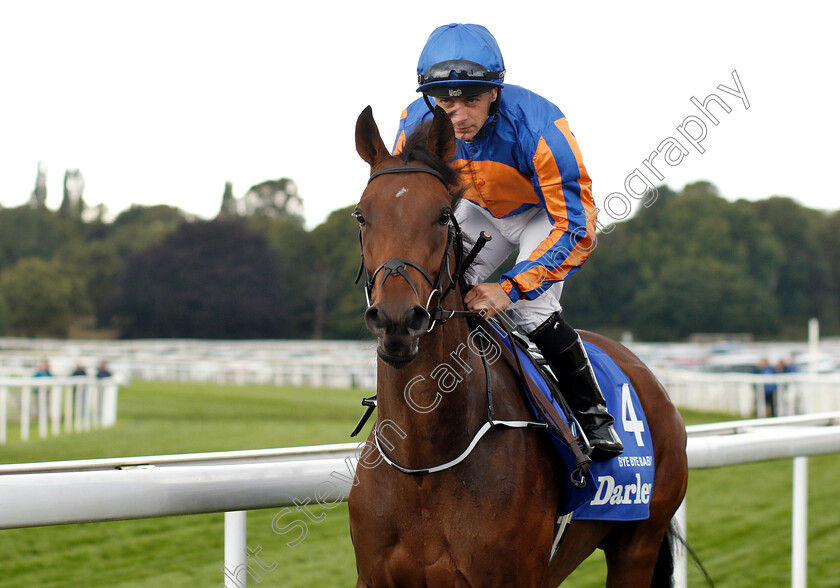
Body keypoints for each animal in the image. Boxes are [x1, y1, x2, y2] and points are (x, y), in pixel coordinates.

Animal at [348, 107, 688, 588]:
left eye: (442, 215)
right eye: (362, 215)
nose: (397, 319)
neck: (424, 464)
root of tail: (646, 373)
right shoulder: (374, 576)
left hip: (638, 545)